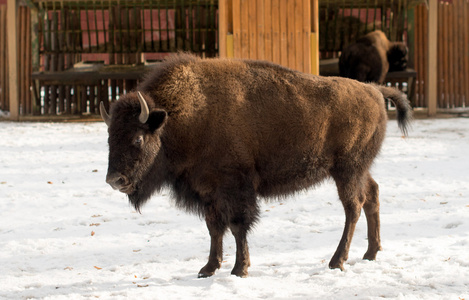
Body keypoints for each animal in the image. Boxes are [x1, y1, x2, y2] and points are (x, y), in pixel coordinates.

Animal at [98, 52, 410, 278]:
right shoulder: (208, 192)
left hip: (346, 170)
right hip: (359, 169)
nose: (115, 180)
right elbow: (214, 227)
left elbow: (238, 225)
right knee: (372, 195)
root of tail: (373, 91)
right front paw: (207, 269)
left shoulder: (235, 188)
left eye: (138, 138)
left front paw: (239, 269)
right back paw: (371, 253)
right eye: (109, 137)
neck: (180, 116)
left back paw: (337, 261)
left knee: (353, 206)